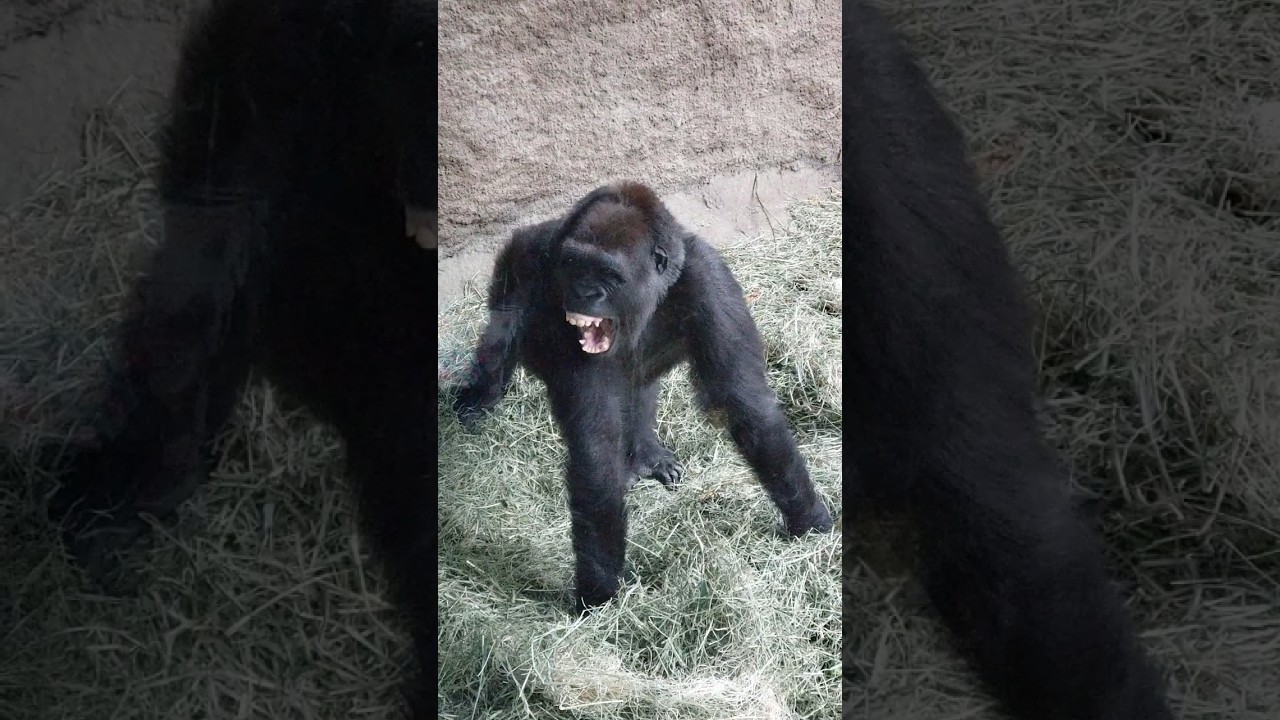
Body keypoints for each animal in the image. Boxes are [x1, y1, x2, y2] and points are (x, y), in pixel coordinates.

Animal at [451, 180, 836, 610]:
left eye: (608, 274)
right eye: (573, 263)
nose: (583, 293)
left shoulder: (710, 279)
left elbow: (746, 403)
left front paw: (809, 519)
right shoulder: (537, 265)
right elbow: (596, 449)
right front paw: (599, 590)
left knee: (638, 386)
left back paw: (644, 454)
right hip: (513, 261)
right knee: (500, 335)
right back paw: (480, 395)